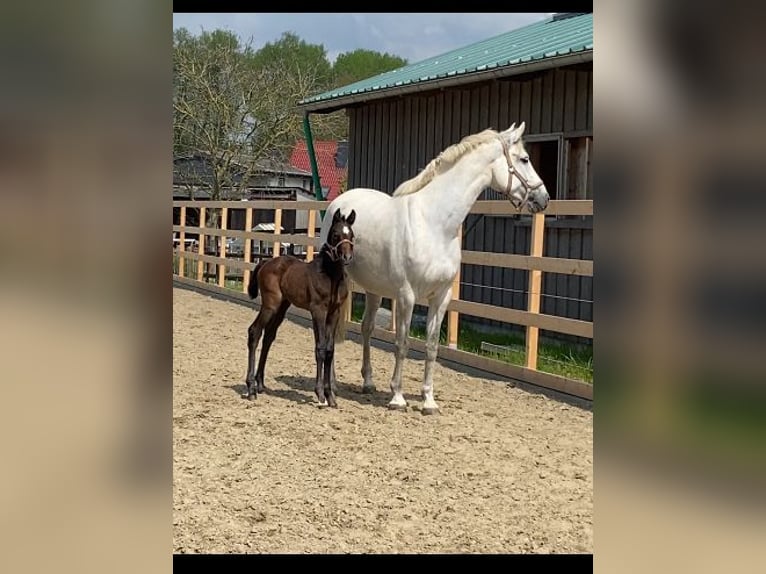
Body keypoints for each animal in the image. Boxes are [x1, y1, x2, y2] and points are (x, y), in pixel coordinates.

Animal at [243, 209, 356, 408]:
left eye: (351, 235)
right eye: (336, 234)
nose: (347, 257)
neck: (330, 276)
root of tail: (265, 263)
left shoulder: (333, 313)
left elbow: (329, 350)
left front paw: (330, 396)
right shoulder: (318, 311)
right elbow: (320, 348)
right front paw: (320, 394)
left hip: (282, 307)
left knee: (268, 336)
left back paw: (260, 384)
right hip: (271, 305)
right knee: (255, 332)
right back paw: (251, 389)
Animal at [320, 124, 552, 416]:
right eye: (524, 159)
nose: (544, 198)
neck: (434, 223)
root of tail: (338, 202)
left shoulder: (441, 296)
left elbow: (431, 347)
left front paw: (428, 401)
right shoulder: (406, 296)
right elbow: (403, 343)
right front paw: (397, 397)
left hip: (374, 290)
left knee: (366, 329)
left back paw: (368, 382)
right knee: (332, 329)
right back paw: (332, 384)